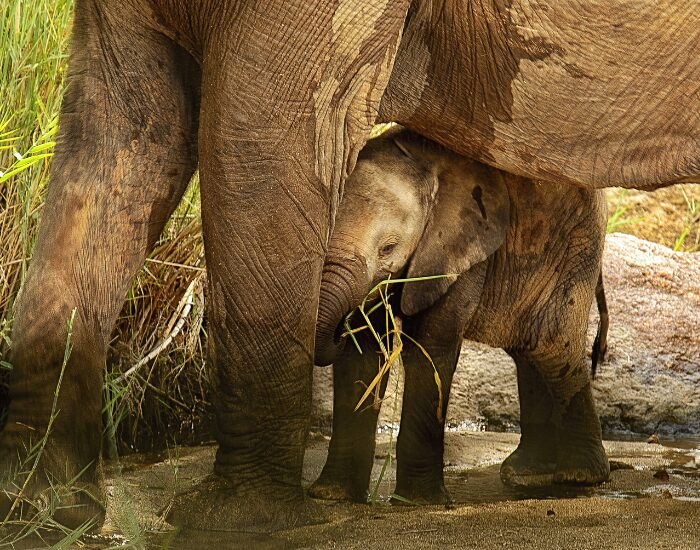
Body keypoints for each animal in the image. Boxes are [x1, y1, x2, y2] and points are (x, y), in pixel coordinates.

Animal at [311, 127, 608, 504]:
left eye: (388, 248)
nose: (337, 326)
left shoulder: (460, 246)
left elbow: (431, 343)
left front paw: (418, 502)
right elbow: (363, 353)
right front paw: (332, 495)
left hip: (576, 248)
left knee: (552, 347)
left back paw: (579, 477)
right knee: (530, 352)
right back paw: (528, 474)